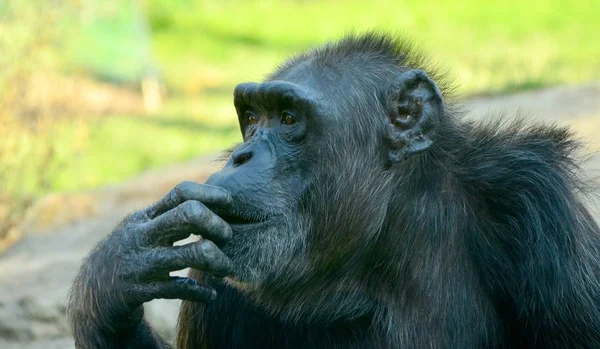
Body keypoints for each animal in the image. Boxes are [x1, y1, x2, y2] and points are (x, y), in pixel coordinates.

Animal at [67, 33, 600, 348]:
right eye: (251, 118)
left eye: (287, 118)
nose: (243, 156)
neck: (380, 243)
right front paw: (115, 272)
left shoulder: (536, 200)